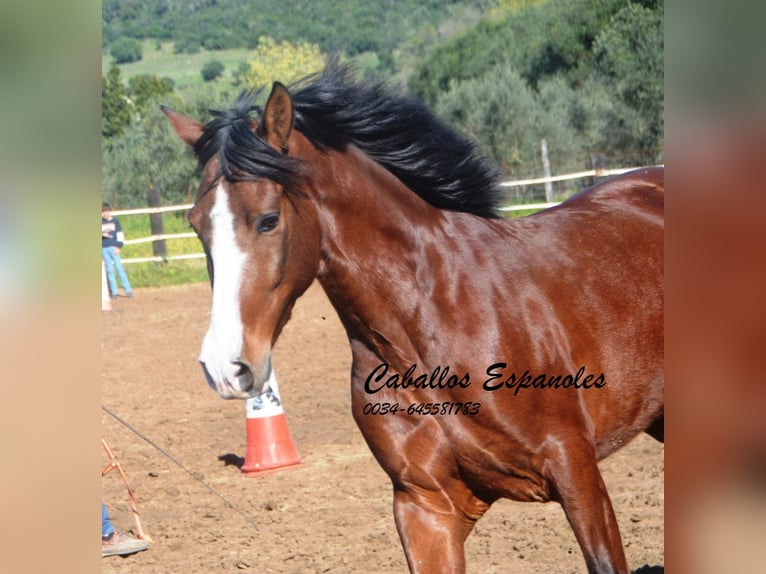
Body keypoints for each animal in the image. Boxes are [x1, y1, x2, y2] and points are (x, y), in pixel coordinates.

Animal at [165, 65, 664, 572]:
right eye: (195, 225)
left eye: (267, 219)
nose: (225, 367)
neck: (431, 329)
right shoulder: (426, 507)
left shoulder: (575, 471)